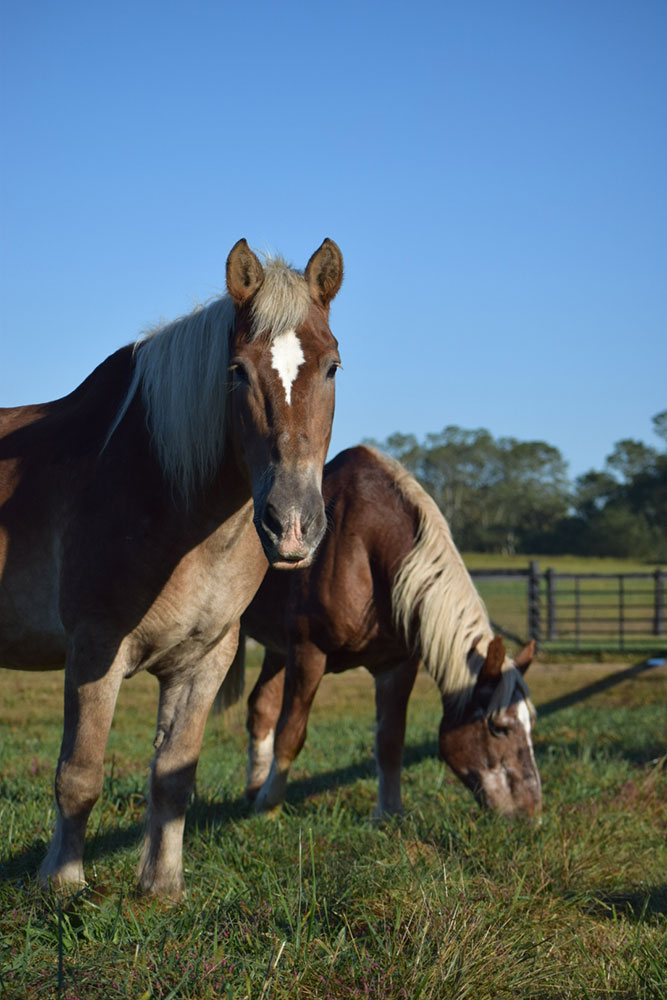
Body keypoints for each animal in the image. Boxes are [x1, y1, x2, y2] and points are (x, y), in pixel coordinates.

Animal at [0, 236, 344, 900]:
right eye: (237, 371)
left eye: (333, 366)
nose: (291, 524)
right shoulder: (95, 650)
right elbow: (79, 774)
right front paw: (63, 883)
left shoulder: (204, 660)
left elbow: (174, 776)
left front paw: (162, 887)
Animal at [240, 446, 544, 820]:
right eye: (500, 727)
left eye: (530, 724)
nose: (531, 812)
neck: (365, 548)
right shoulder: (307, 652)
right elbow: (291, 733)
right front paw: (269, 808)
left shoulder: (397, 665)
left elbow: (390, 741)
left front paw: (389, 814)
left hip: (276, 650)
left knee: (260, 709)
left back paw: (254, 789)